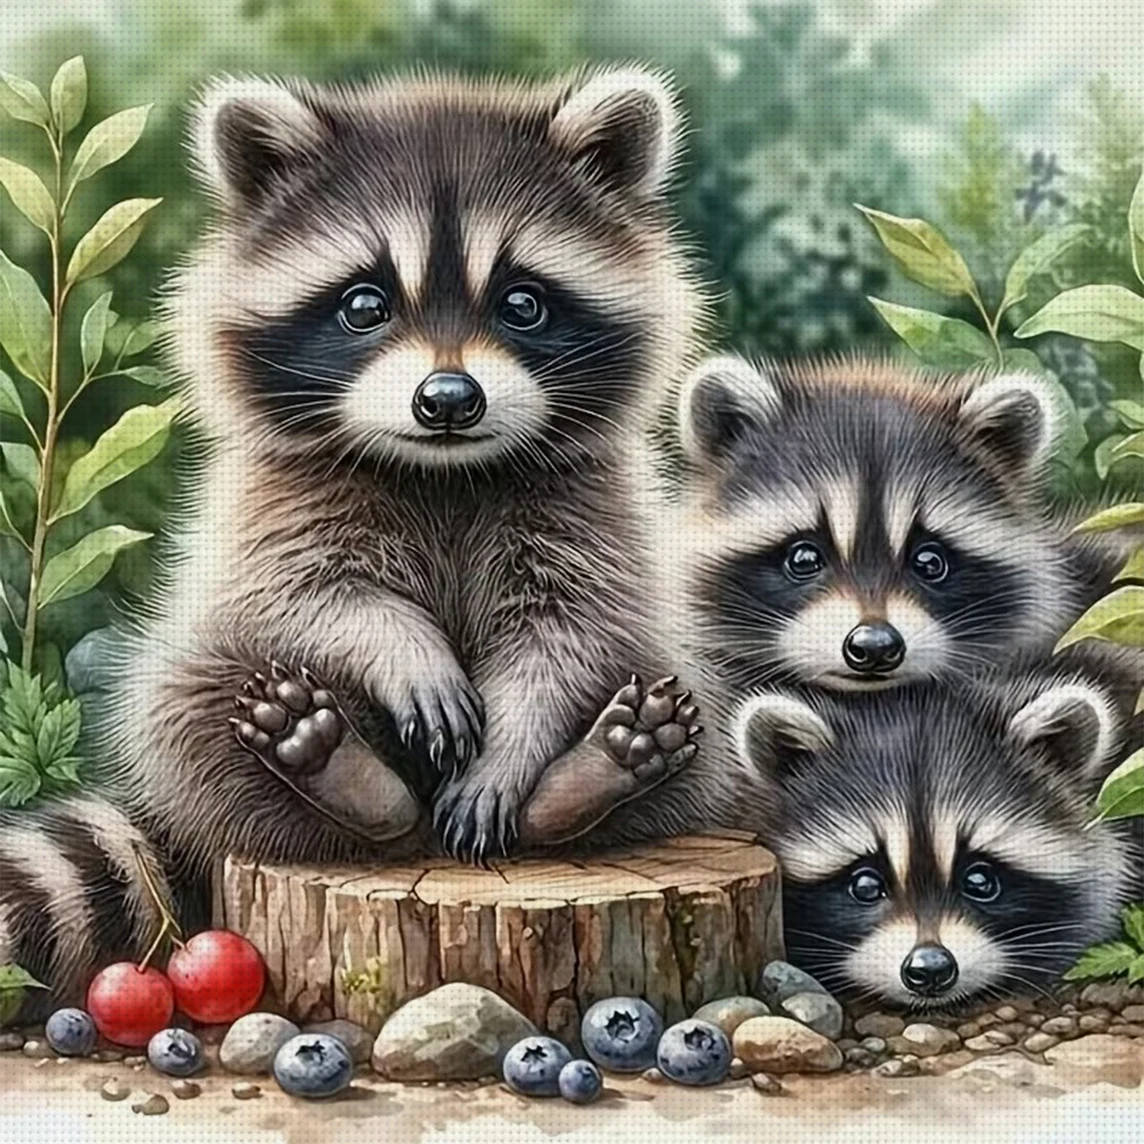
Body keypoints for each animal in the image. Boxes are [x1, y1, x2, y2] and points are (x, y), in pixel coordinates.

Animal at [1, 65, 733, 1007]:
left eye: (523, 303)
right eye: (364, 304)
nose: (449, 399)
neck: (444, 471)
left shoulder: (593, 509)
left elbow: (569, 632)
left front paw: (514, 748)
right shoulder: (272, 502)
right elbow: (312, 596)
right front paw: (402, 645)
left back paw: (588, 776)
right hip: (198, 701)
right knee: (193, 701)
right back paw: (344, 775)